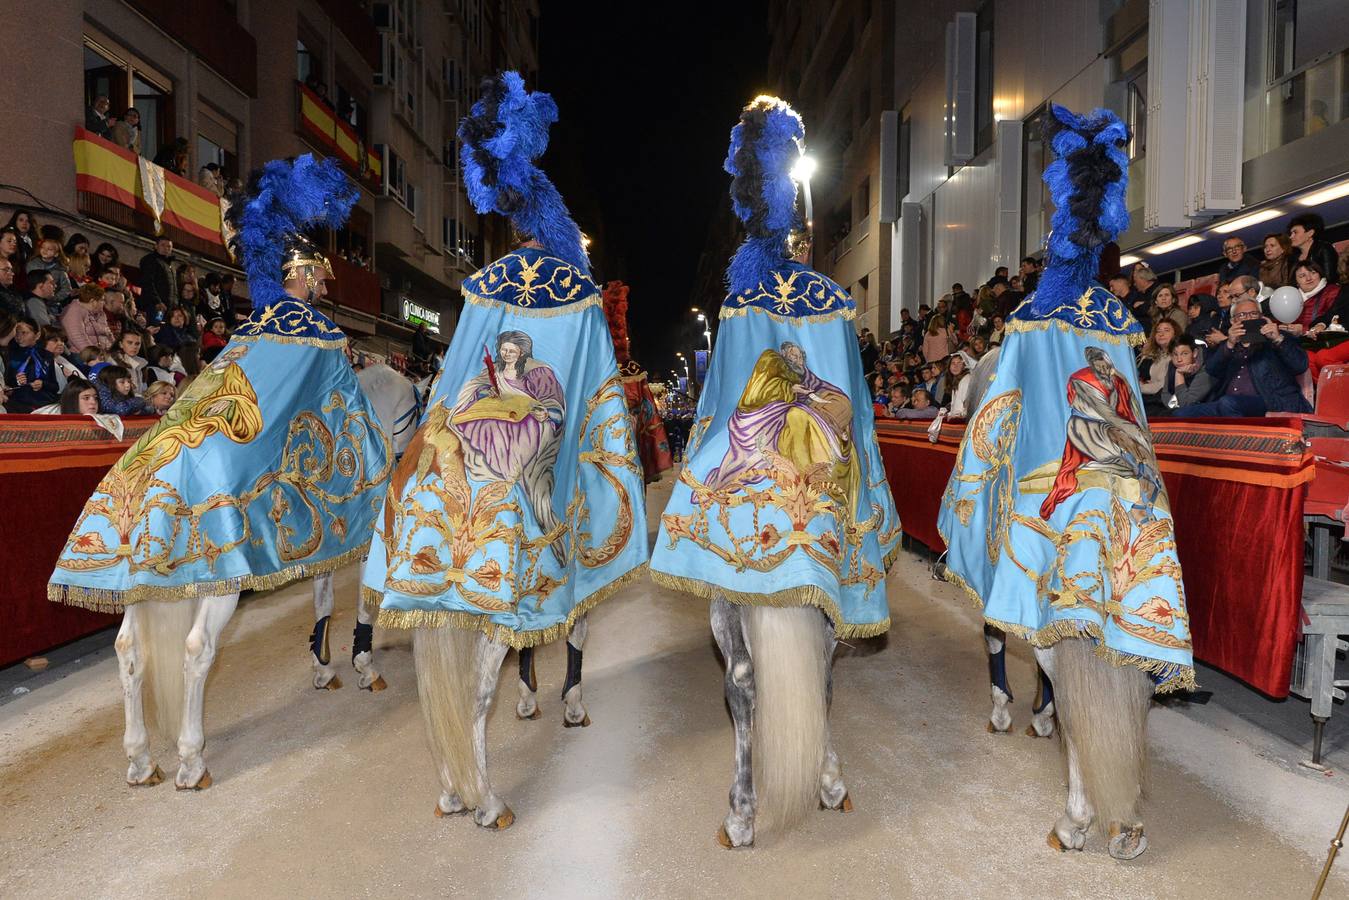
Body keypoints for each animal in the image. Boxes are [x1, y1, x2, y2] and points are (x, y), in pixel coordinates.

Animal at [113, 358, 418, 788]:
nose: (404, 464)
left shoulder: (326, 546)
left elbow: (324, 601)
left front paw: (323, 668)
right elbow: (364, 604)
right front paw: (365, 666)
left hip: (143, 594)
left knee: (129, 651)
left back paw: (140, 759)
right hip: (217, 594)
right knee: (196, 650)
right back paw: (191, 760)